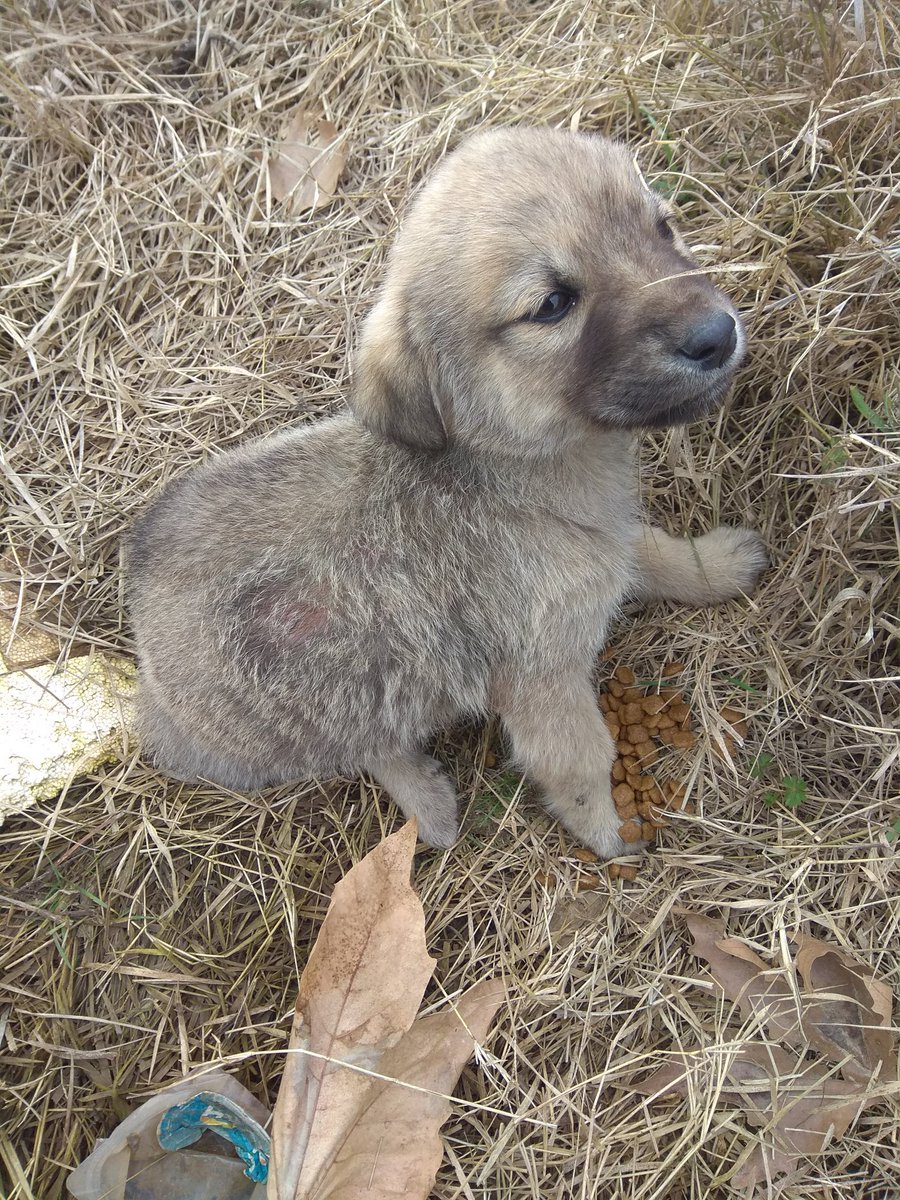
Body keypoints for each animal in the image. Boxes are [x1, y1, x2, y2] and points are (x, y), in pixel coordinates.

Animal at [128, 126, 768, 859]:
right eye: (552, 305)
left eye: (662, 226)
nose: (717, 336)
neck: (503, 470)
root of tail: (146, 660)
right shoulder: (543, 682)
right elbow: (579, 763)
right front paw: (609, 835)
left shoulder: (611, 540)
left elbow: (656, 550)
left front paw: (717, 566)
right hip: (306, 717)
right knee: (367, 748)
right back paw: (428, 805)